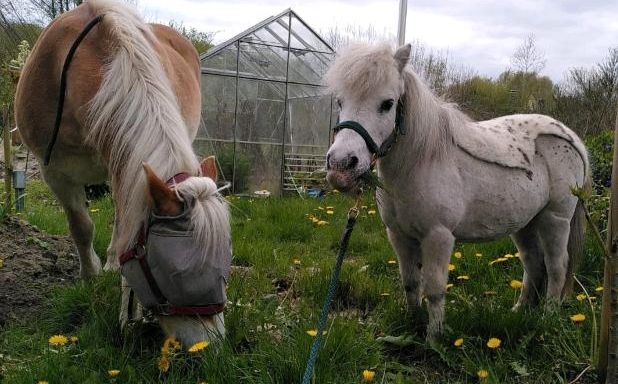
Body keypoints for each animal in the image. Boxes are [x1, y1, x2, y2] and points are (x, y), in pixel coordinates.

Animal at [15, 0, 231, 346]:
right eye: (175, 274)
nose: (207, 346)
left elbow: (124, 222)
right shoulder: (55, 173)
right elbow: (81, 227)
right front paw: (90, 277)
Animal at [322, 43, 588, 340]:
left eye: (387, 104)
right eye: (340, 101)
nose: (341, 165)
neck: (420, 161)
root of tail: (571, 138)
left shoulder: (438, 237)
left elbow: (434, 289)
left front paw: (433, 339)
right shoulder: (399, 236)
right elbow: (410, 283)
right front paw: (412, 325)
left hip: (556, 219)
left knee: (556, 266)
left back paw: (548, 317)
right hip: (526, 223)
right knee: (533, 263)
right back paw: (519, 311)